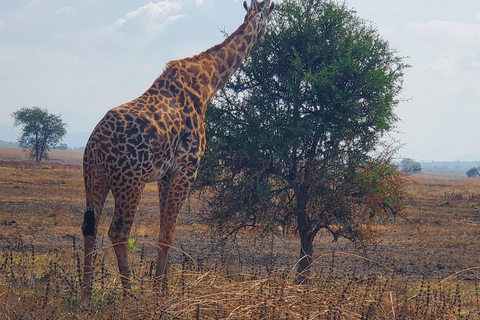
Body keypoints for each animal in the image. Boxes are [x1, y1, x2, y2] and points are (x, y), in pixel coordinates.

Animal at [80, 0, 272, 306]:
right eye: (273, 11)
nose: (264, 37)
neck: (209, 81)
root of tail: (96, 144)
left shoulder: (165, 174)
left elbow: (162, 230)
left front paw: (163, 287)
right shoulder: (187, 167)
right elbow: (169, 232)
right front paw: (160, 294)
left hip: (94, 176)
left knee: (90, 226)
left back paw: (86, 297)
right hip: (130, 181)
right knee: (118, 230)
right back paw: (129, 295)